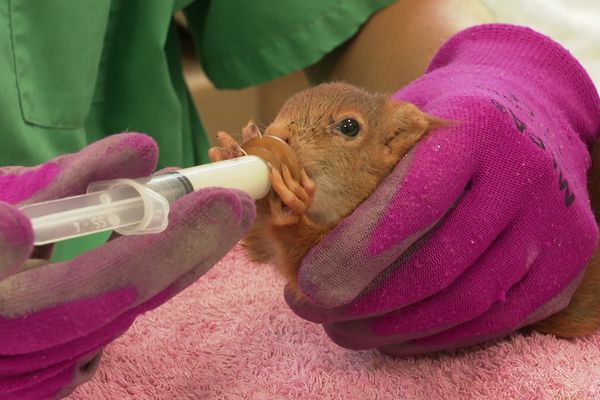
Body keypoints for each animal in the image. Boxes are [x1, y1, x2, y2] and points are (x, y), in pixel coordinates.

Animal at [210, 81, 600, 340]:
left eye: (349, 127)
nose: (278, 134)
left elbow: (297, 260)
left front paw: (294, 203)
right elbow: (259, 242)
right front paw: (228, 151)